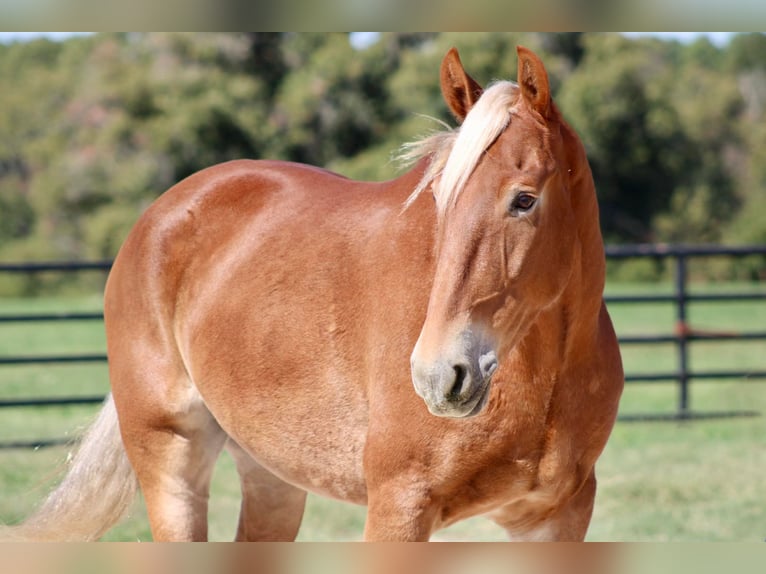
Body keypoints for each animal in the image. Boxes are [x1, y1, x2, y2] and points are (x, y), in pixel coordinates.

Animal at [4, 46, 624, 544]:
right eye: (440, 201)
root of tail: (159, 216)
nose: (438, 375)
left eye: (524, 199)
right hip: (171, 464)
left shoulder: (554, 519)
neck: (542, 380)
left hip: (272, 477)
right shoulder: (399, 508)